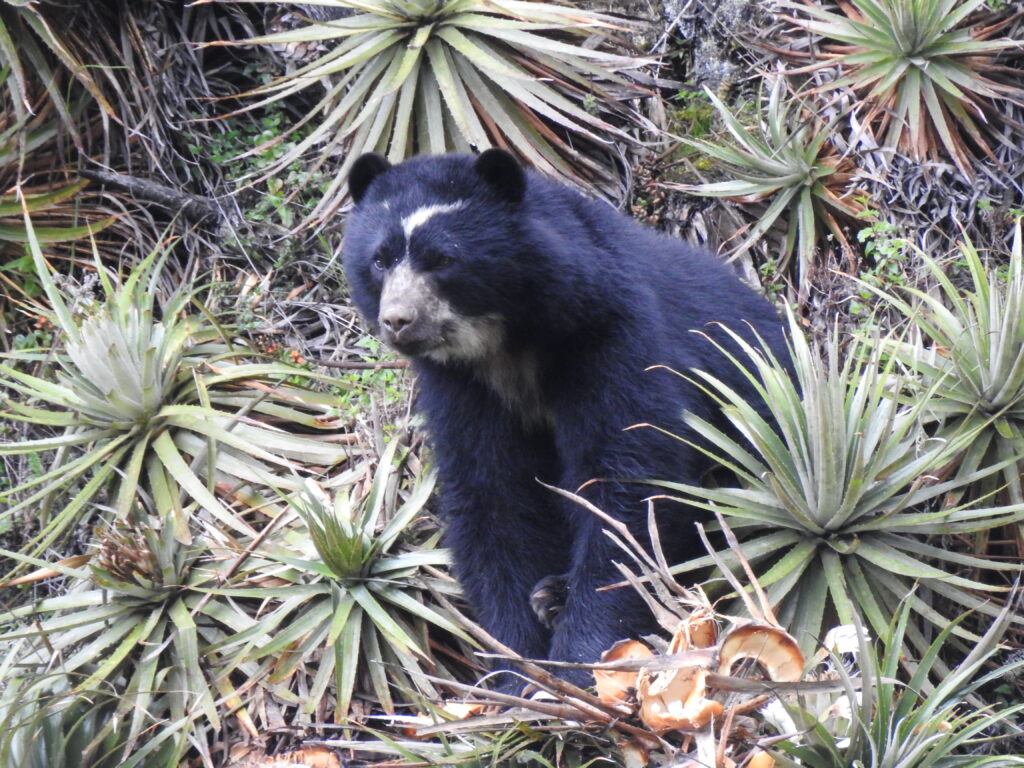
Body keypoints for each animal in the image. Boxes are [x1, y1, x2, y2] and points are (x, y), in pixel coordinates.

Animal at [339, 151, 786, 692]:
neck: (508, 344)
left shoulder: (613, 336)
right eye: (379, 260)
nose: (398, 321)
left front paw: (582, 657)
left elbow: (627, 479)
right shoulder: (463, 388)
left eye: (443, 258)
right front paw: (517, 668)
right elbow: (491, 496)